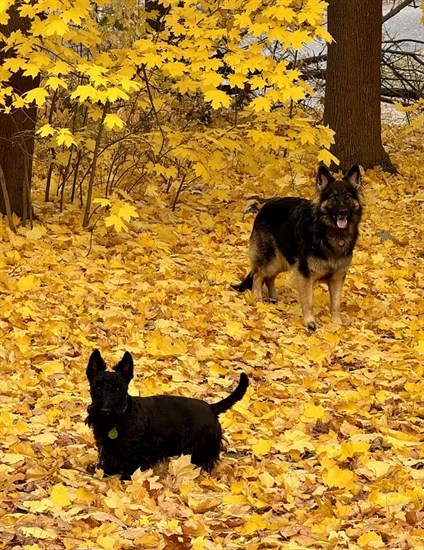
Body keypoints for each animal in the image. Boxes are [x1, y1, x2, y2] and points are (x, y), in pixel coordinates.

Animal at [234, 165, 362, 332]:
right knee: (258, 275)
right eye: (333, 197)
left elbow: (336, 304)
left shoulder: (337, 277)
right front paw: (310, 322)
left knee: (269, 277)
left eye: (347, 196)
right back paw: (258, 300)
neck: (330, 234)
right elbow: (308, 302)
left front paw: (337, 323)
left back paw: (274, 298)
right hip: (272, 260)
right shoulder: (305, 274)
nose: (343, 212)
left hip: (283, 262)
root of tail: (265, 206)